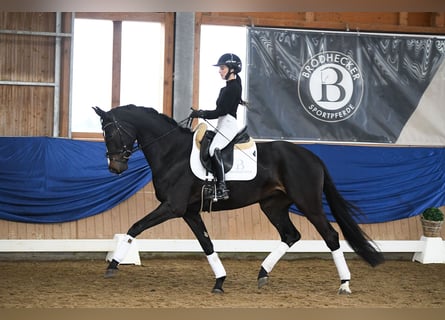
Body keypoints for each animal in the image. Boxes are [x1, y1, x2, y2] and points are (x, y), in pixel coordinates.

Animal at [93, 104, 382, 294]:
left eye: (112, 133)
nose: (115, 168)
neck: (172, 152)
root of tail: (312, 157)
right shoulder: (189, 211)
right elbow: (207, 244)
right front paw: (220, 280)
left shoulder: (172, 207)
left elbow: (135, 227)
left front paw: (114, 263)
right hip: (273, 205)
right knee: (290, 235)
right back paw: (262, 274)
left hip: (308, 204)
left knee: (331, 236)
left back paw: (344, 284)